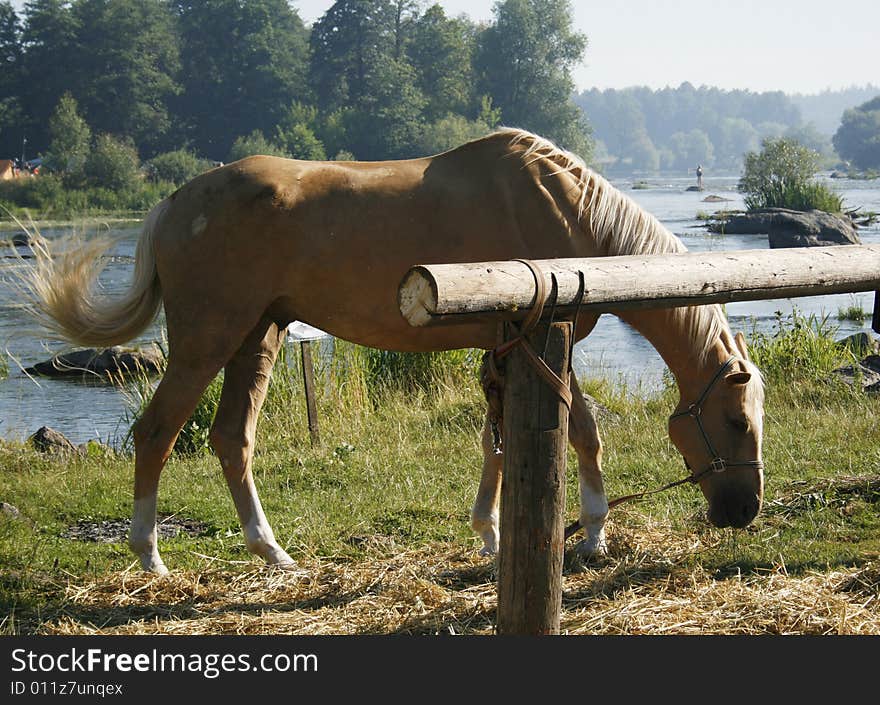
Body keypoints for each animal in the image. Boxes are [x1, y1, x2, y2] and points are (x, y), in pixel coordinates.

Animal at [20, 131, 764, 572]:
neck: (569, 217)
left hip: (259, 337)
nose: (745, 512)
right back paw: (150, 556)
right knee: (156, 432)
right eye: (735, 421)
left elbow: (496, 442)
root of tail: (173, 202)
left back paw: (272, 551)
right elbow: (582, 433)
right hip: (208, 340)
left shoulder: (502, 349)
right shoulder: (543, 343)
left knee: (231, 437)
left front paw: (490, 533)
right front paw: (592, 533)